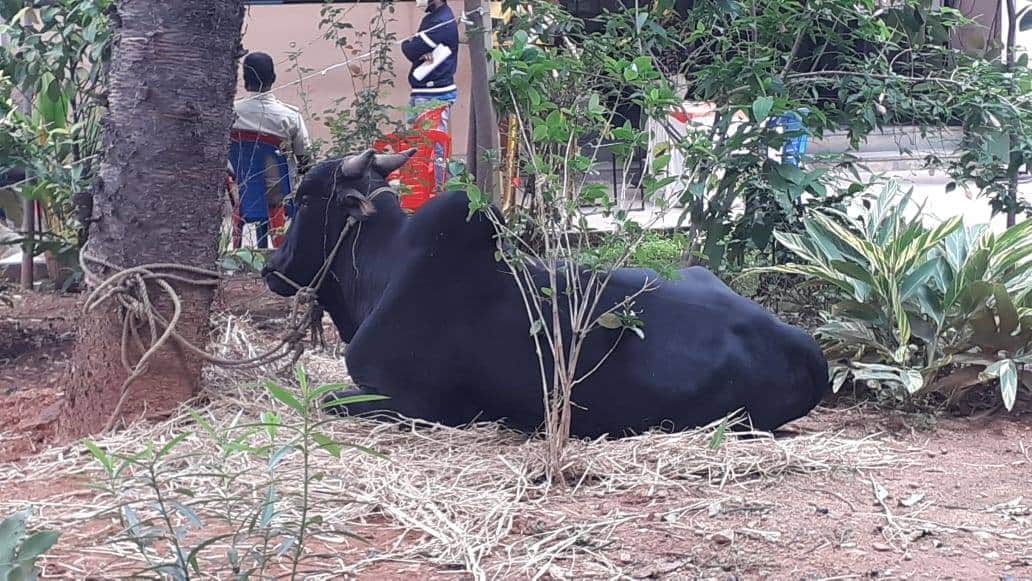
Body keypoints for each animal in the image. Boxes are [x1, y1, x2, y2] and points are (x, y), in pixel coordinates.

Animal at [262, 149, 829, 438]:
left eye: (300, 198)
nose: (271, 266)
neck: (385, 264)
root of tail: (807, 346)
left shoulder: (408, 400)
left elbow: (325, 401)